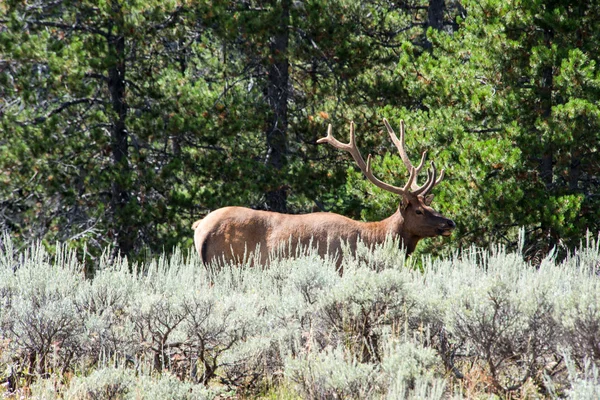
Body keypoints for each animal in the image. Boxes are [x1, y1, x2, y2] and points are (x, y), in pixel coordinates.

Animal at [192, 119, 454, 268]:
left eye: (431, 206)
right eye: (419, 211)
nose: (449, 222)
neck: (372, 240)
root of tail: (199, 226)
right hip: (222, 264)